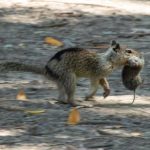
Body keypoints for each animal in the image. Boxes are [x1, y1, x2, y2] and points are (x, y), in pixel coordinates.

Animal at [0, 39, 143, 105]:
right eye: (129, 51)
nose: (140, 55)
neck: (109, 59)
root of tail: (47, 70)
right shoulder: (96, 73)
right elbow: (95, 85)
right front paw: (89, 96)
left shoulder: (102, 75)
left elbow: (104, 82)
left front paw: (106, 92)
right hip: (69, 78)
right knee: (69, 95)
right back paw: (75, 102)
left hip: (61, 81)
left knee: (61, 95)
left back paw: (61, 100)